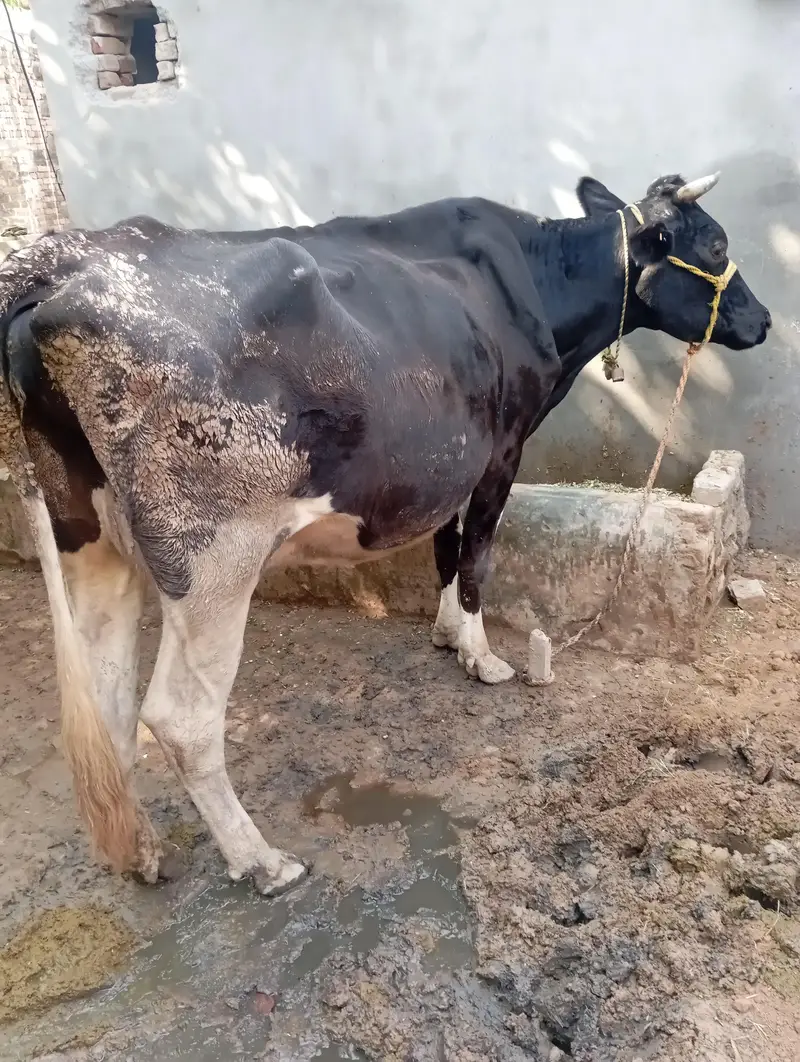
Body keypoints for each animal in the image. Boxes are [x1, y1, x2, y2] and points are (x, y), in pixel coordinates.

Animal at [0, 172, 770, 895]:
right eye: (717, 246)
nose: (763, 320)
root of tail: (64, 258)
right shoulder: (501, 449)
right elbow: (477, 554)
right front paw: (482, 657)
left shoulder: (450, 461)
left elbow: (444, 547)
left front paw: (444, 634)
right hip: (214, 557)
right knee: (181, 719)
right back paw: (260, 860)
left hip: (91, 540)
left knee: (107, 707)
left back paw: (143, 852)